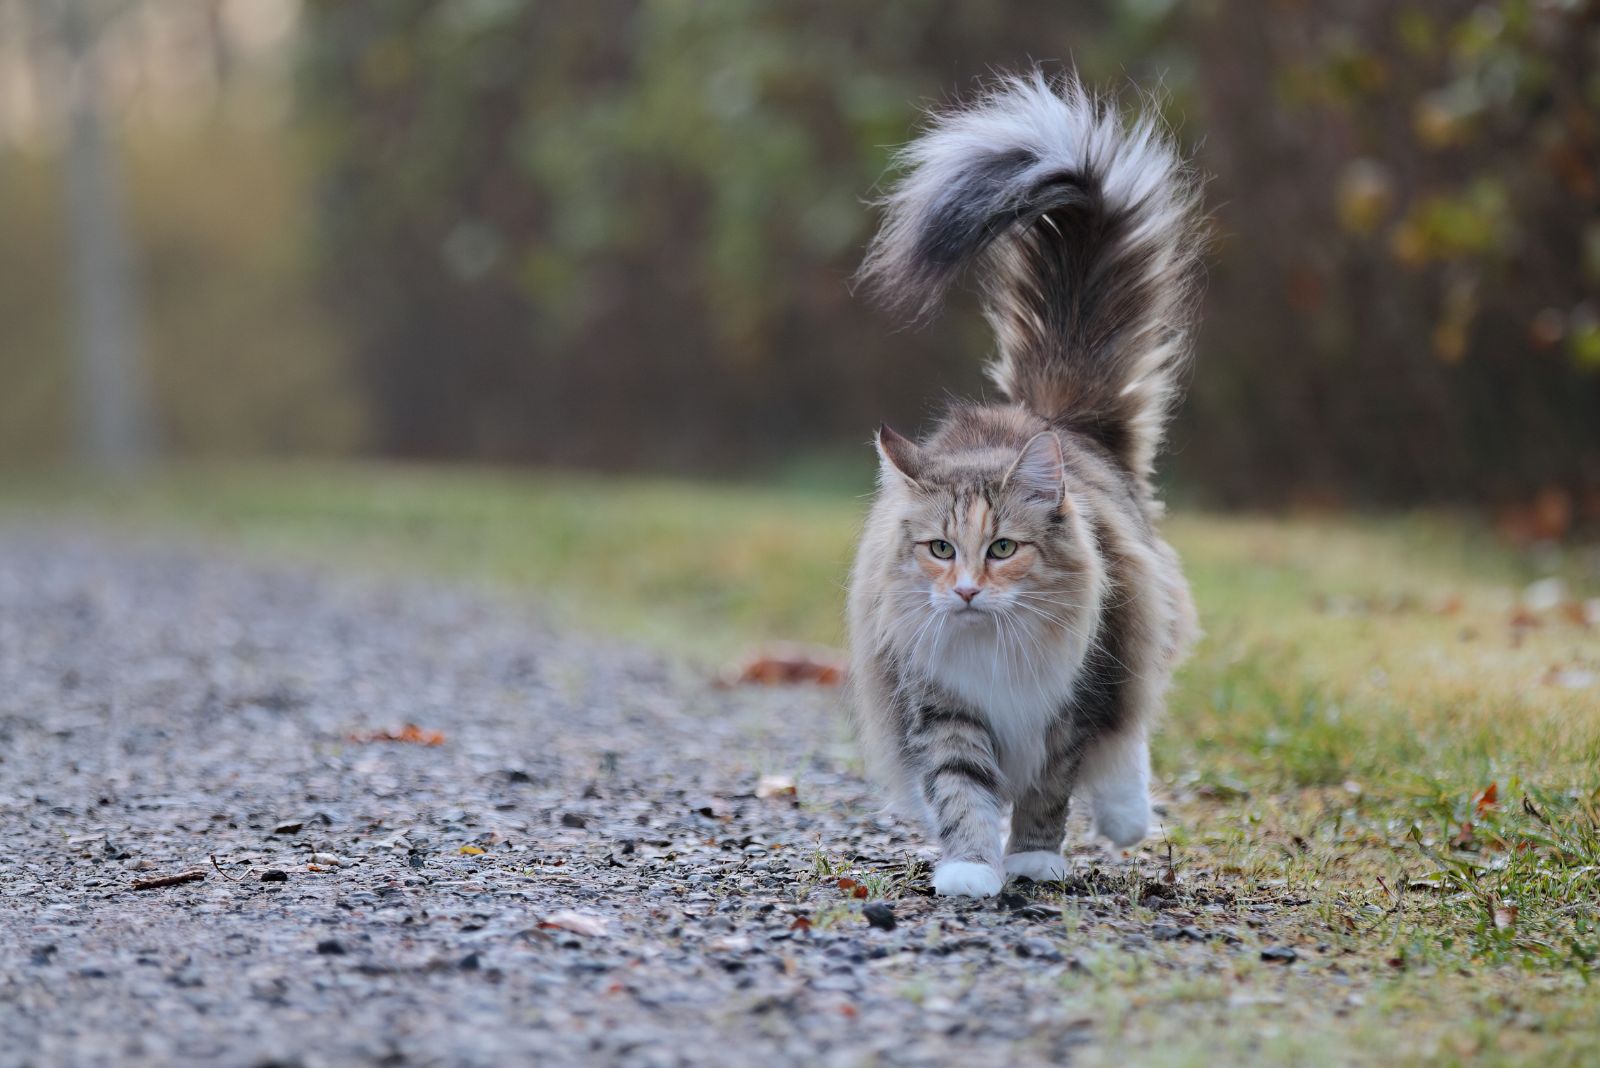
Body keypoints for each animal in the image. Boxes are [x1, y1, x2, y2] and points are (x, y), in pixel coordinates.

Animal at [851, 70, 1203, 895]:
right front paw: (969, 869)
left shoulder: (1073, 705)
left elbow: (1047, 790)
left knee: (1132, 733)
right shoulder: (942, 704)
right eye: (941, 550)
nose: (966, 591)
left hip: (1137, 627)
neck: (994, 649)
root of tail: (1047, 416)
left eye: (1004, 549)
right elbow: (961, 788)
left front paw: (1034, 860)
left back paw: (1126, 817)